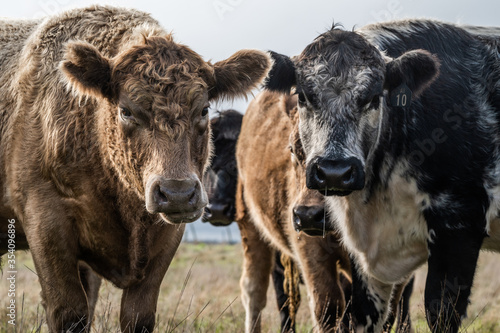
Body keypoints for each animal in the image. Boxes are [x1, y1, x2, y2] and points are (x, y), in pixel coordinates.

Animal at [0, 5, 270, 332]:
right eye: (126, 110)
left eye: (204, 109)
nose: (177, 193)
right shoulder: (45, 223)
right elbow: (70, 313)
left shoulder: (166, 238)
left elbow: (137, 316)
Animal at [268, 20, 500, 332]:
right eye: (304, 96)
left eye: (372, 97)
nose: (334, 172)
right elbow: (362, 314)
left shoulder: (460, 224)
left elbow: (440, 312)